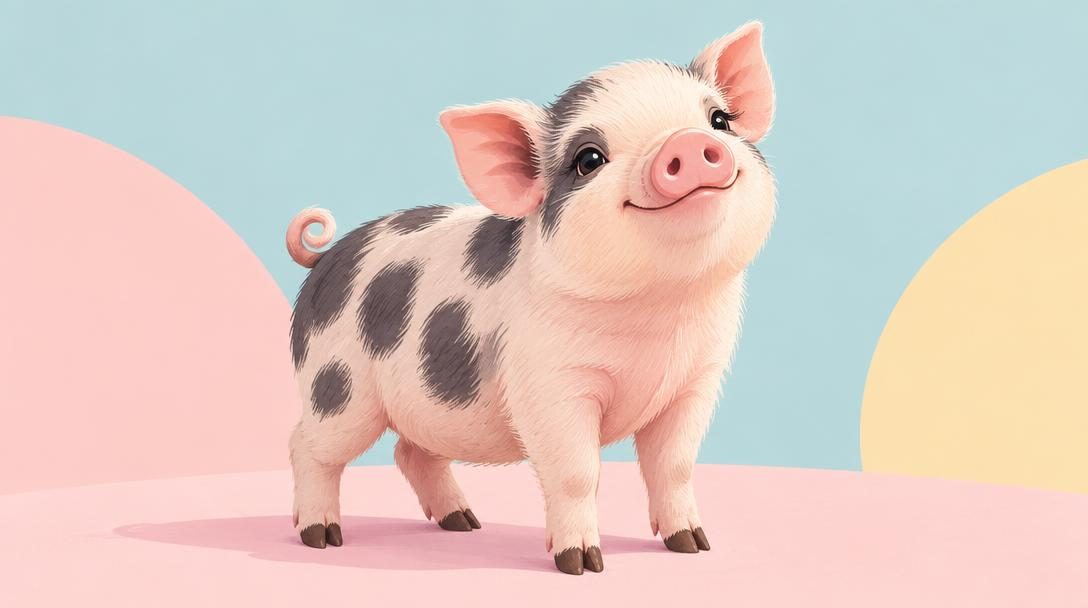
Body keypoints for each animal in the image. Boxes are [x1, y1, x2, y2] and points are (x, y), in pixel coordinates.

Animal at [285, 21, 776, 575]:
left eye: (719, 121)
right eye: (588, 159)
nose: (688, 145)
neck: (660, 311)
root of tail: (325, 260)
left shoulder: (696, 381)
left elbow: (674, 465)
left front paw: (693, 545)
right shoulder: (549, 384)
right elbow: (577, 472)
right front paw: (582, 565)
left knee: (412, 453)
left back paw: (464, 523)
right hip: (338, 387)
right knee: (307, 447)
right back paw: (322, 537)